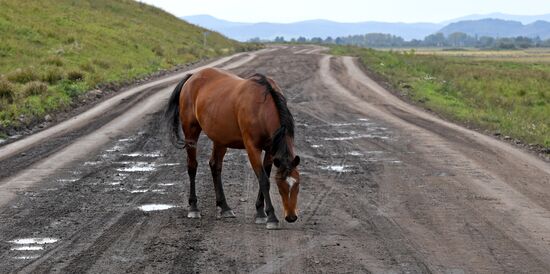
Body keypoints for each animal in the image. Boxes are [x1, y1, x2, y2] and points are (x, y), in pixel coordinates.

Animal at [165, 68, 302, 229]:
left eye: (297, 185)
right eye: (280, 187)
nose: (291, 217)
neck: (261, 108)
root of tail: (192, 77)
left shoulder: (270, 149)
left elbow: (266, 176)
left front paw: (260, 211)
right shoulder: (252, 148)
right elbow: (263, 180)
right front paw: (271, 217)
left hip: (220, 138)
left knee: (215, 166)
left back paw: (224, 207)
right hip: (191, 132)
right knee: (192, 166)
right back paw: (193, 208)